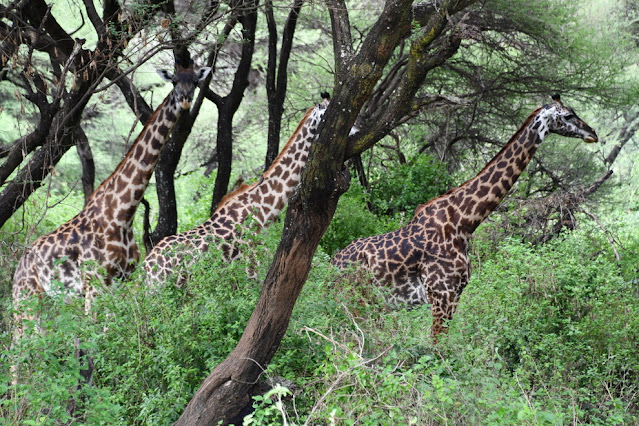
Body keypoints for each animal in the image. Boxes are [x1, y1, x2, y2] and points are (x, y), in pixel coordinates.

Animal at [11, 59, 212, 306]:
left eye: (195, 81)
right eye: (174, 81)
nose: (185, 100)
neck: (123, 214)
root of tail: (18, 269)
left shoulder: (121, 280)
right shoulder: (95, 282)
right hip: (28, 299)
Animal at [332, 95, 596, 340]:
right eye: (569, 115)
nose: (592, 133)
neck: (464, 221)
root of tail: (331, 265)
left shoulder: (456, 293)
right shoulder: (441, 292)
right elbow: (437, 348)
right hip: (355, 300)